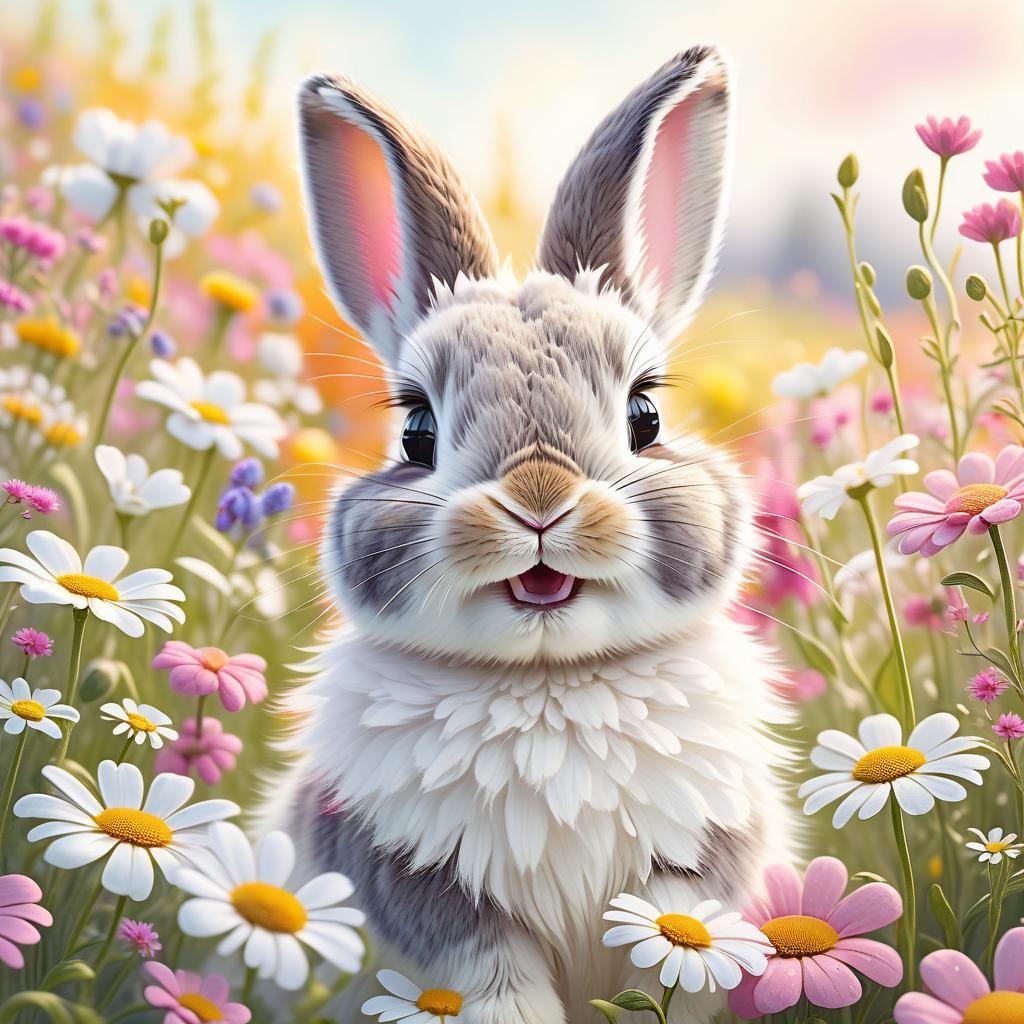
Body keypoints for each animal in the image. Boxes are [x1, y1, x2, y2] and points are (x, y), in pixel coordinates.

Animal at [262, 44, 794, 1024]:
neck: (550, 682)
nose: (539, 499)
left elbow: (671, 945)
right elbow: (493, 976)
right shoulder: (416, 882)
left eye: (646, 415)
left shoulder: (702, 858)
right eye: (416, 431)